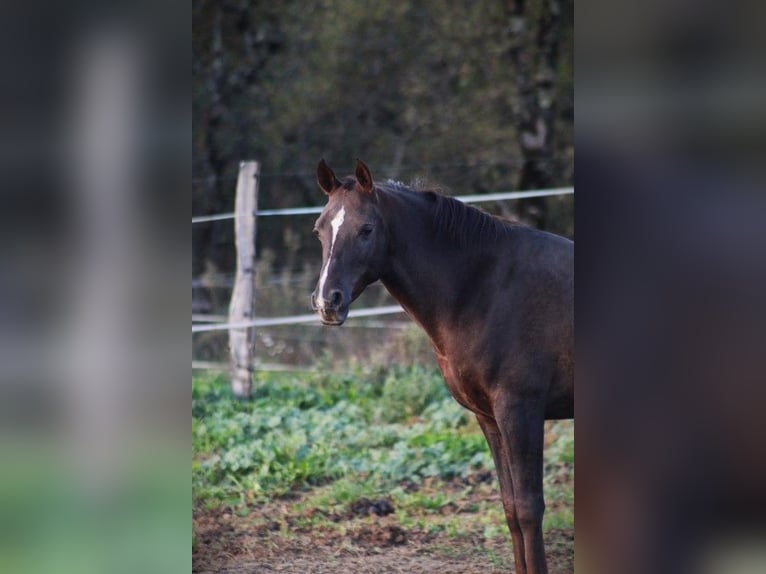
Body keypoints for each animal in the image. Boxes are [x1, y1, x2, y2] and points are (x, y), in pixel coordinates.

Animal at [312, 159, 576, 574]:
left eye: (366, 229)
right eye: (319, 228)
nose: (328, 302)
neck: (484, 287)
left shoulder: (521, 411)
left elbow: (530, 509)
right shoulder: (489, 417)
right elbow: (511, 508)